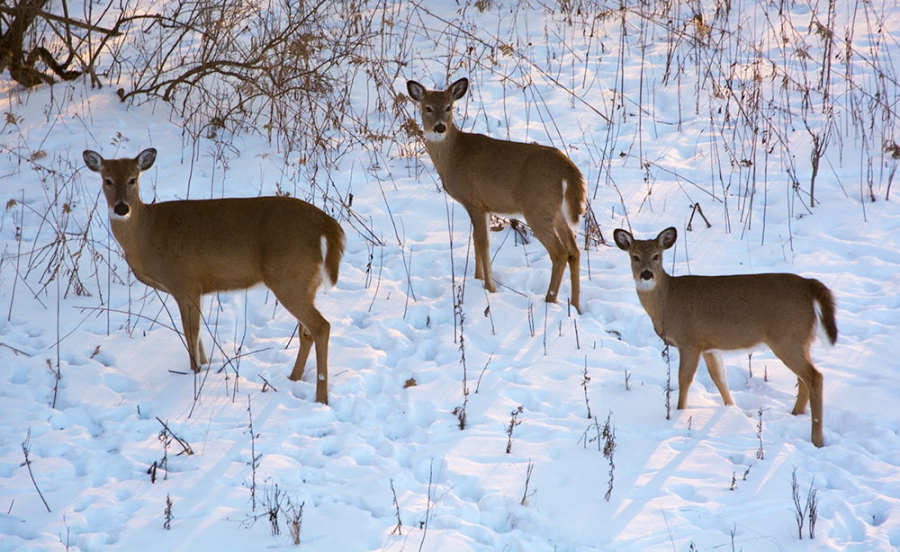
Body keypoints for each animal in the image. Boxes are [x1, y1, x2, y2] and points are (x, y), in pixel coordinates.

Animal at [83, 148, 345, 405]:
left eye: (133, 179)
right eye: (107, 180)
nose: (121, 208)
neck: (146, 236)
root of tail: (327, 225)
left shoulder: (184, 282)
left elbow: (191, 333)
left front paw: (195, 373)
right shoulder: (197, 288)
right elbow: (198, 335)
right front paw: (205, 367)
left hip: (289, 278)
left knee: (321, 326)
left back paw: (321, 398)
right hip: (304, 283)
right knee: (306, 332)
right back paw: (292, 380)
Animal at [406, 77, 587, 313]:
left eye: (449, 107)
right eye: (427, 107)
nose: (439, 127)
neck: (453, 156)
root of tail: (568, 168)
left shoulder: (473, 200)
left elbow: (483, 242)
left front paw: (490, 288)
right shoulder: (483, 206)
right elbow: (476, 240)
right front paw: (478, 279)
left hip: (536, 207)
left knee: (559, 253)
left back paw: (550, 300)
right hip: (557, 211)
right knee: (574, 251)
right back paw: (575, 305)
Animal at [613, 227, 837, 448]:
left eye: (656, 256)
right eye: (635, 257)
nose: (646, 274)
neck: (667, 302)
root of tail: (809, 286)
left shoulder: (689, 340)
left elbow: (684, 378)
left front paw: (678, 413)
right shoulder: (709, 346)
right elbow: (719, 377)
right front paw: (731, 408)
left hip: (786, 338)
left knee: (815, 377)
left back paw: (817, 440)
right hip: (800, 341)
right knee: (804, 379)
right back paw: (795, 415)